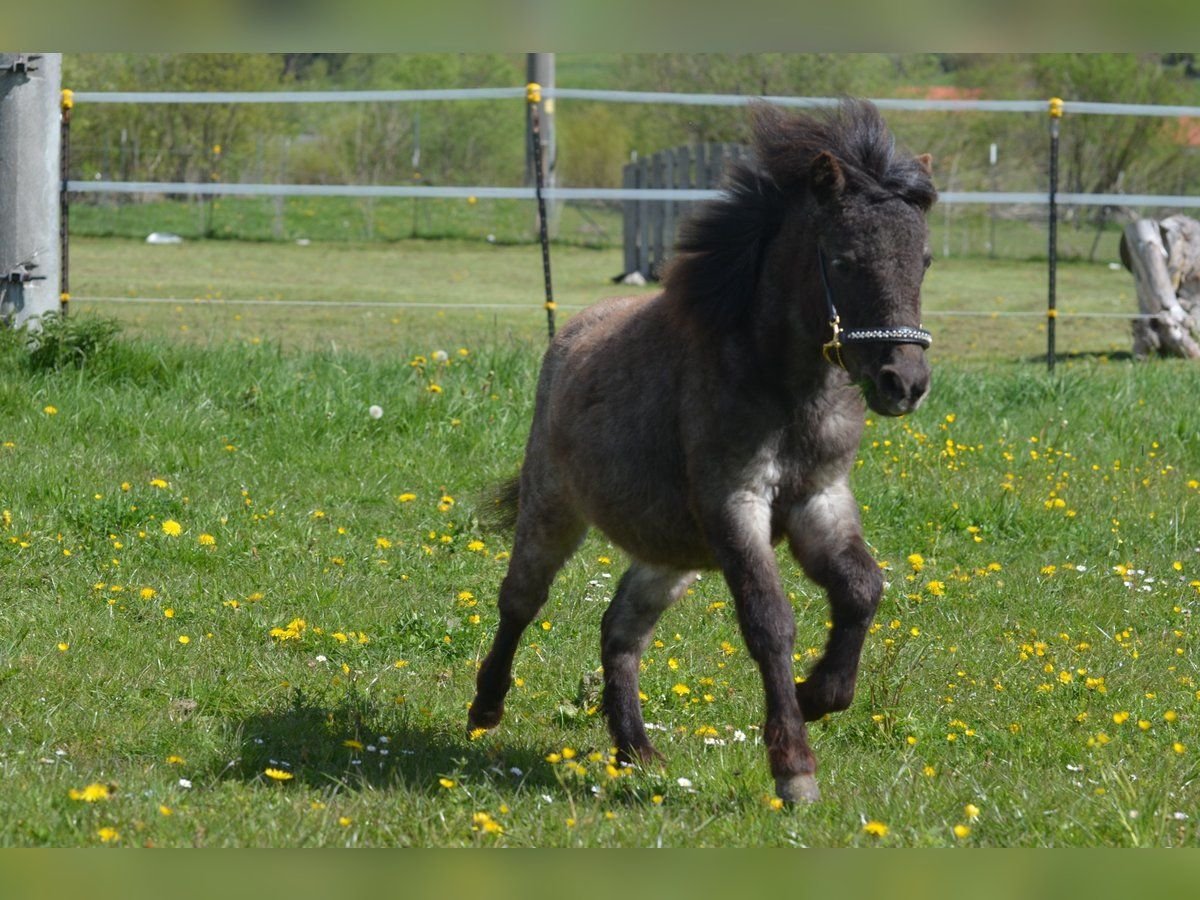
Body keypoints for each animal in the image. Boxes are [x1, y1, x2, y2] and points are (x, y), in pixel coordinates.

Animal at [468, 98, 936, 801]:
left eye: (925, 260)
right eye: (845, 259)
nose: (903, 382)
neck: (783, 386)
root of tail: (570, 333)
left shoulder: (820, 500)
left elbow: (861, 588)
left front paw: (816, 695)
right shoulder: (734, 504)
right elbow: (770, 622)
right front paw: (794, 766)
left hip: (673, 554)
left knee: (620, 629)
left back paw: (635, 750)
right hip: (553, 509)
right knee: (521, 599)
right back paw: (486, 707)